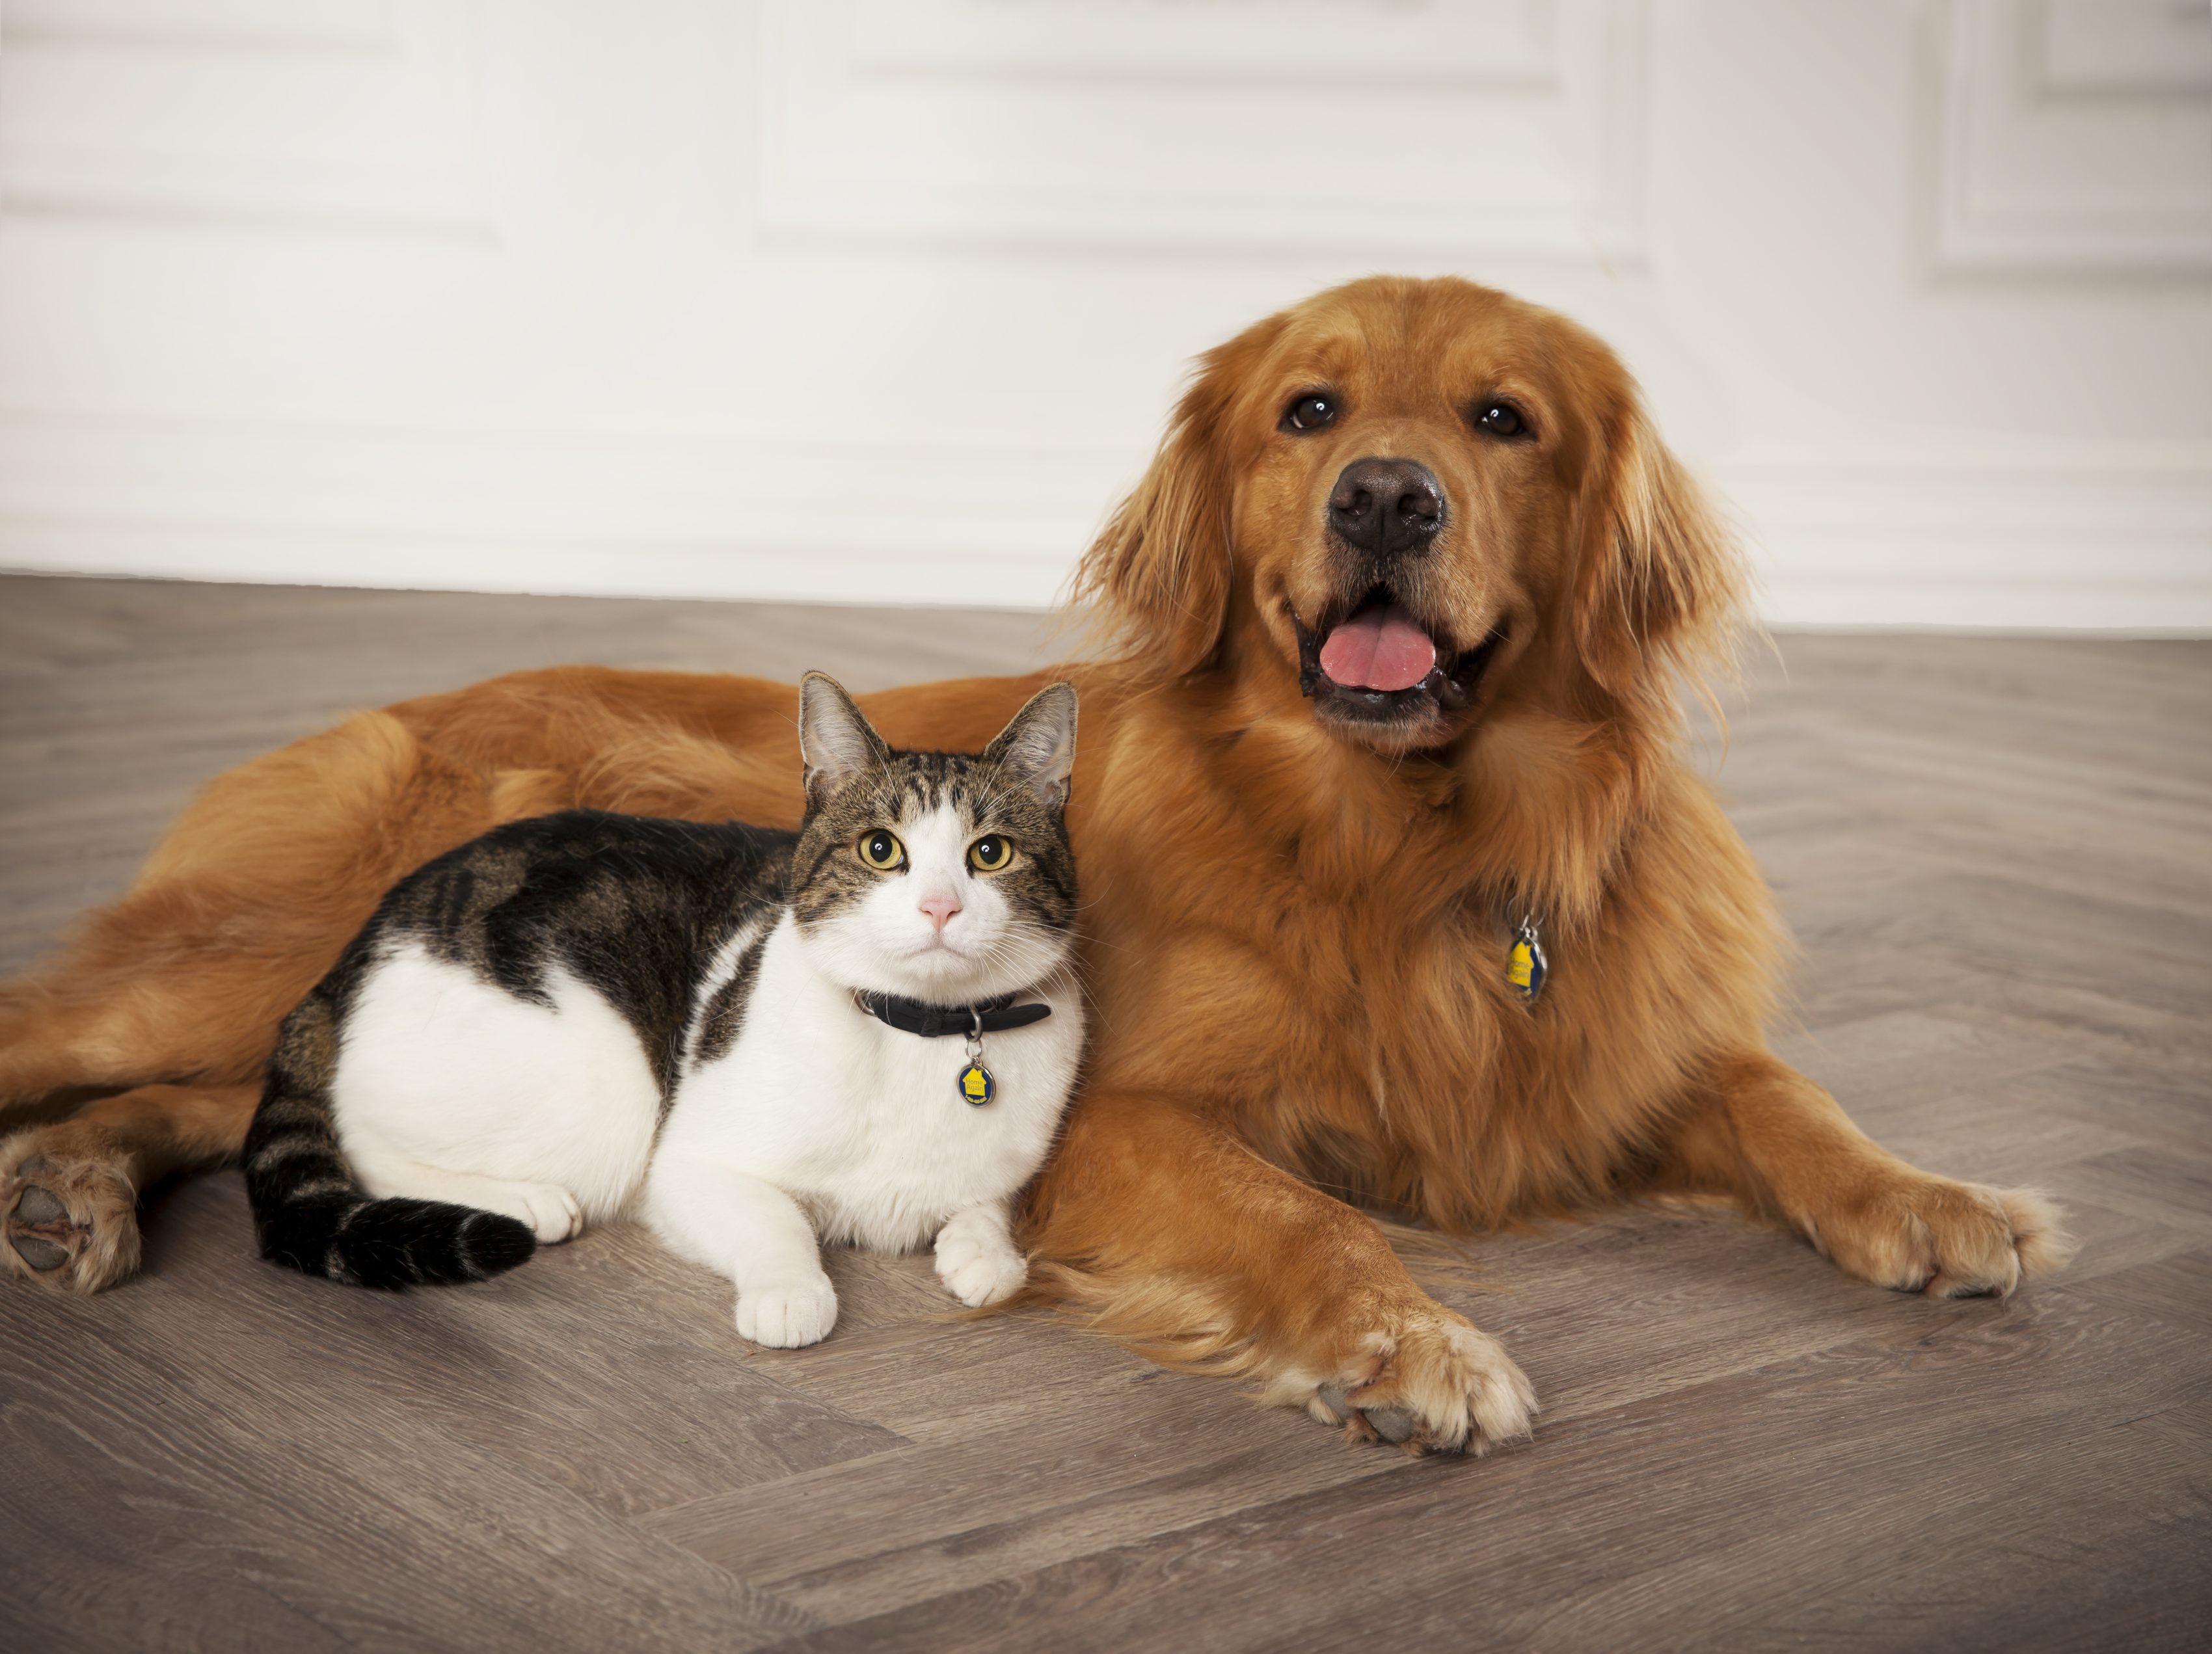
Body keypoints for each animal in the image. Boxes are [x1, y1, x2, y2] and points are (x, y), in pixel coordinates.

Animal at [244, 672, 1088, 1344]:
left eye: (990, 853)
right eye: (881, 850)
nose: (941, 907)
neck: (922, 1030)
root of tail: (363, 937)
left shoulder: (1000, 1169)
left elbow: (987, 1208)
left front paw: (985, 1251)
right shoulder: (689, 1164)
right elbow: (776, 1220)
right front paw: (792, 1292)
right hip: (607, 1095)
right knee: (365, 1140)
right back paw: (526, 1200)